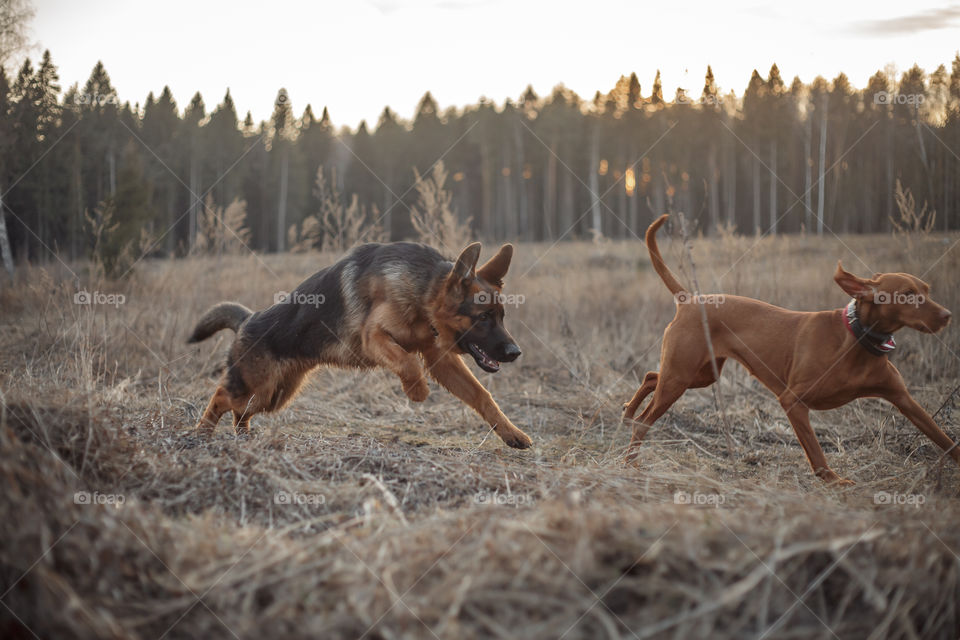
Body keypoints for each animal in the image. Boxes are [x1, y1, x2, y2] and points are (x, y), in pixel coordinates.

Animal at [188, 242, 532, 448]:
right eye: (483, 317)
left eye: (501, 316)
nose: (515, 353)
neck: (422, 294)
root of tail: (247, 319)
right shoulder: (374, 337)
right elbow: (407, 362)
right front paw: (416, 391)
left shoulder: (440, 358)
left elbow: (482, 396)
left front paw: (511, 432)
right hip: (258, 388)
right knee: (221, 397)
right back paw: (201, 435)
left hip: (274, 395)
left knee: (239, 413)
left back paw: (243, 439)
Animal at [628, 212, 956, 482]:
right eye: (907, 294)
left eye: (926, 291)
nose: (947, 315)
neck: (856, 340)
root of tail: (689, 299)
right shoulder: (792, 401)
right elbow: (816, 451)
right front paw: (835, 482)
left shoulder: (904, 400)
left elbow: (946, 440)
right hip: (682, 376)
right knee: (644, 421)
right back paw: (631, 462)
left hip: (700, 374)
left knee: (650, 376)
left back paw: (626, 411)